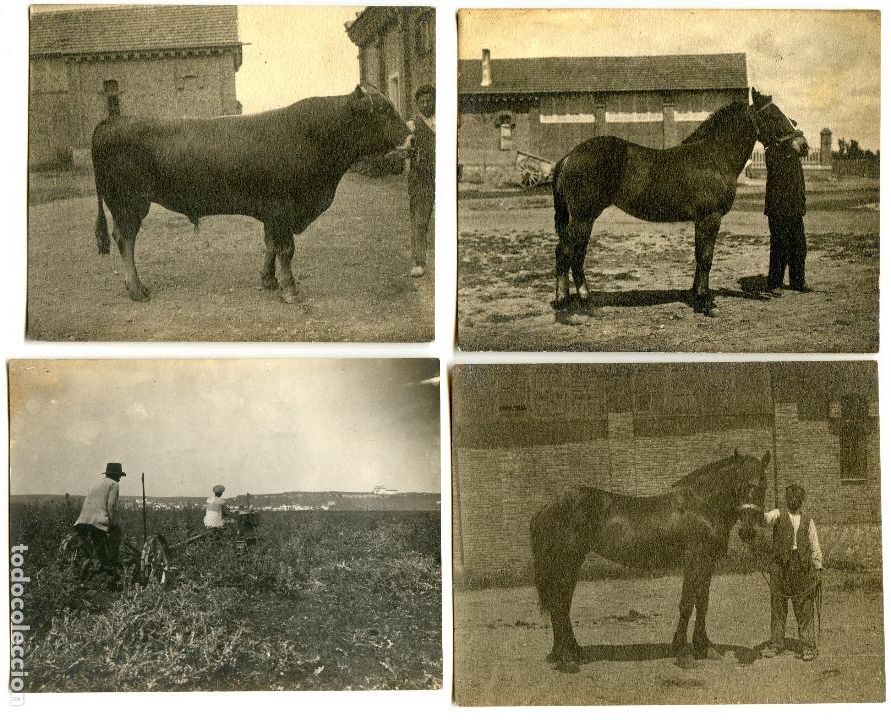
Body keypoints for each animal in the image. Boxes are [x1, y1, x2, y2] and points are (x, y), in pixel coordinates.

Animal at [529, 449, 770, 671]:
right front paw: (683, 654)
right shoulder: (694, 561)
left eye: (763, 486)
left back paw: (571, 653)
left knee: (562, 604)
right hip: (566, 562)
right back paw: (566, 660)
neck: (701, 505)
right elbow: (686, 605)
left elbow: (702, 603)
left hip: (572, 563)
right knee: (559, 604)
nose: (748, 531)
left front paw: (705, 648)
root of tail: (548, 506)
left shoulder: (707, 564)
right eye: (741, 484)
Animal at [551, 88, 804, 316]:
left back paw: (585, 299)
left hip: (586, 218)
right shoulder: (710, 218)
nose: (803, 145)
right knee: (565, 252)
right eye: (773, 115)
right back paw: (565, 302)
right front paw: (706, 303)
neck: (714, 157)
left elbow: (699, 255)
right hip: (583, 217)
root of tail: (571, 155)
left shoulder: (700, 220)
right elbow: (706, 257)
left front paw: (696, 295)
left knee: (577, 254)